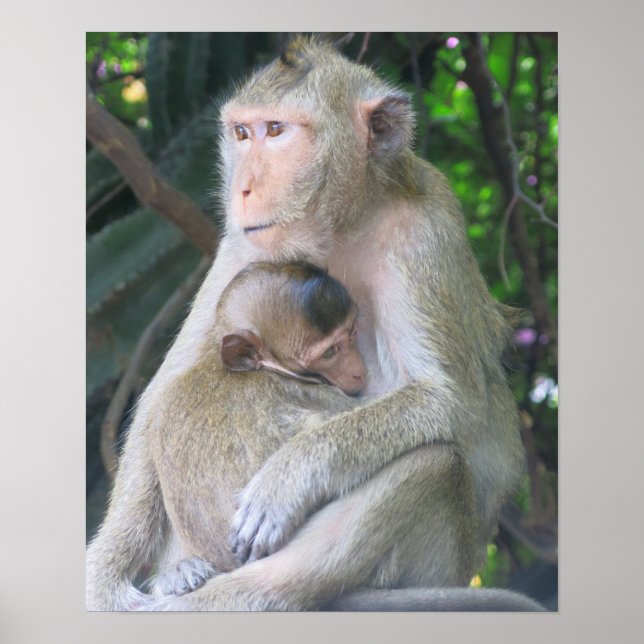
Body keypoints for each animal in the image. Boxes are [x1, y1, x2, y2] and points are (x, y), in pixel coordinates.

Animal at [87, 35, 541, 611]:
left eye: (277, 131)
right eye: (242, 133)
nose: (243, 189)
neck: (342, 225)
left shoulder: (426, 230)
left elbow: (449, 402)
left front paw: (289, 476)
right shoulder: (242, 242)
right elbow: (159, 398)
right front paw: (104, 574)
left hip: (435, 565)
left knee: (434, 463)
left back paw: (247, 596)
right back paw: (180, 574)